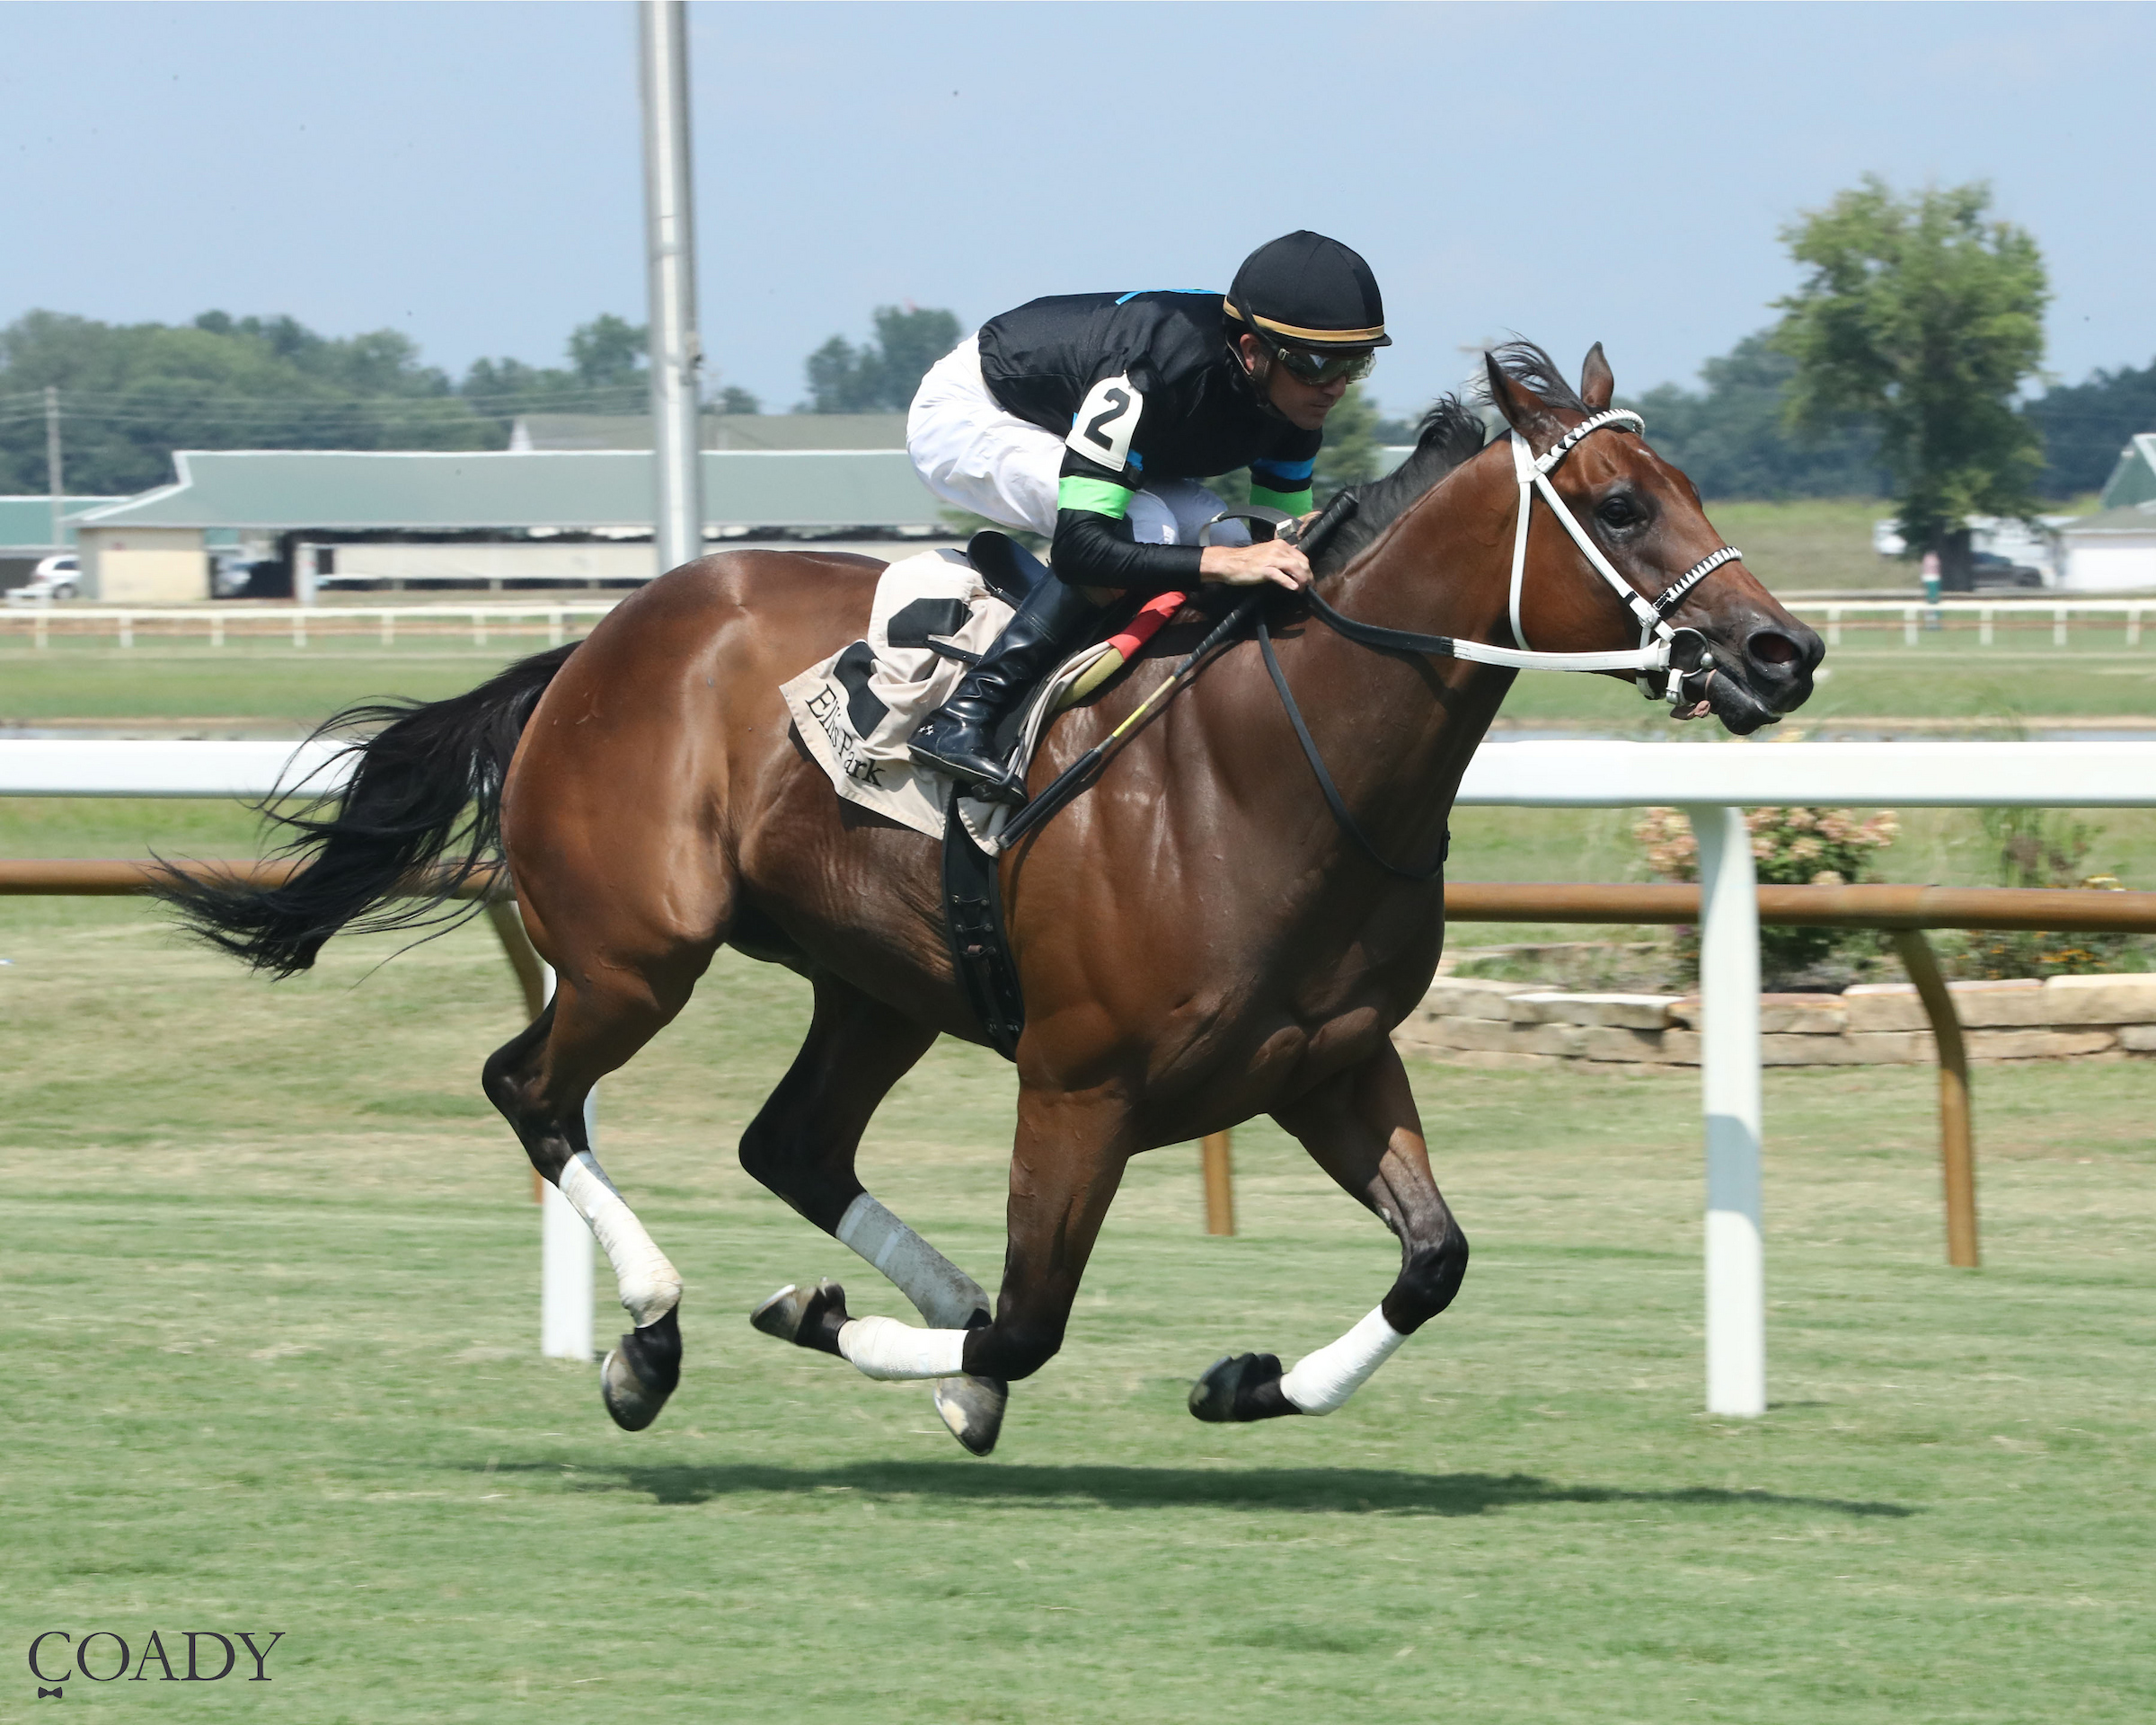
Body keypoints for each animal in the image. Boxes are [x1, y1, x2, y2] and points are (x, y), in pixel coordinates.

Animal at [165, 343, 1823, 1456]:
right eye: (1621, 501)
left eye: (1690, 486)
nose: (1783, 651)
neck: (1272, 770)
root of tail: (592, 645)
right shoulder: (1080, 1083)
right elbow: (1034, 1321)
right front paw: (865, 1332)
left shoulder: (1329, 1063)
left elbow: (1435, 1261)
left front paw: (1249, 1383)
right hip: (643, 956)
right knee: (533, 1090)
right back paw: (652, 1336)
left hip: (876, 982)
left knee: (791, 1142)